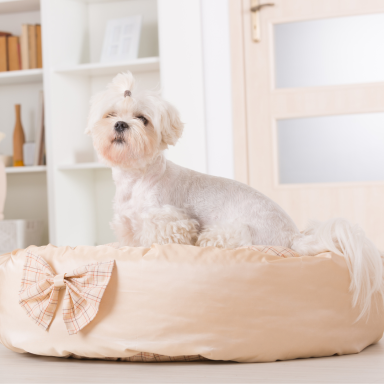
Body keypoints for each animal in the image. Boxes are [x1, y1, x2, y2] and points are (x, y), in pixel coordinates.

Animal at [87, 72, 384, 318]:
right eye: (111, 115)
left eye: (143, 119)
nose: (121, 125)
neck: (137, 179)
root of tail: (293, 237)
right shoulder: (128, 226)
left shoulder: (170, 221)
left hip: (227, 233)